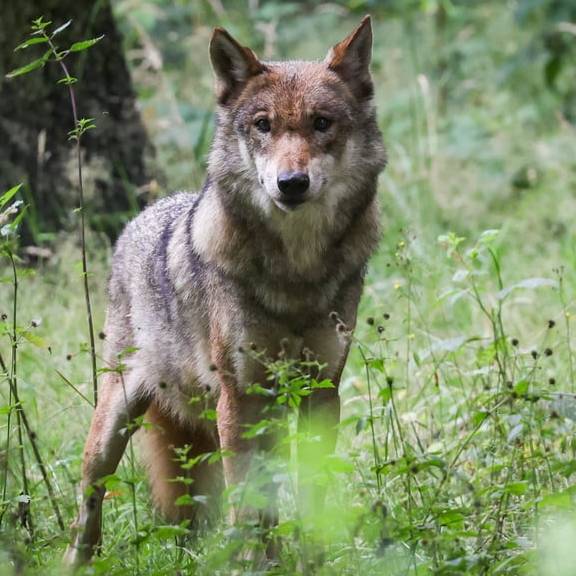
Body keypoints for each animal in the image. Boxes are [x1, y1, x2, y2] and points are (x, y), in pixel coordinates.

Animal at [65, 14, 384, 568]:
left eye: (322, 123)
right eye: (263, 125)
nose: (291, 183)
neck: (296, 272)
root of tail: (141, 218)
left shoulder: (322, 392)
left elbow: (311, 492)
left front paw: (312, 559)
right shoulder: (239, 397)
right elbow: (247, 501)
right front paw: (253, 565)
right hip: (115, 423)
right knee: (89, 499)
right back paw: (77, 561)